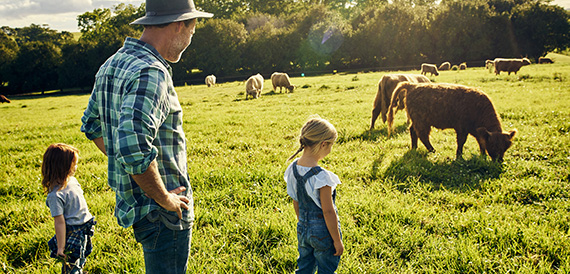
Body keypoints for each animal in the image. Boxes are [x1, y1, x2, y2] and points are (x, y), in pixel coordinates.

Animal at [386, 82, 516, 162]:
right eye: (493, 145)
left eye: (506, 147)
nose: (499, 160)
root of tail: (412, 85)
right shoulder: (462, 128)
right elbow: (461, 142)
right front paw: (458, 157)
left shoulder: (476, 131)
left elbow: (481, 142)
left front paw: (482, 155)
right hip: (421, 121)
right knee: (422, 135)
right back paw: (433, 150)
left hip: (418, 120)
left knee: (413, 131)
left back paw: (414, 148)